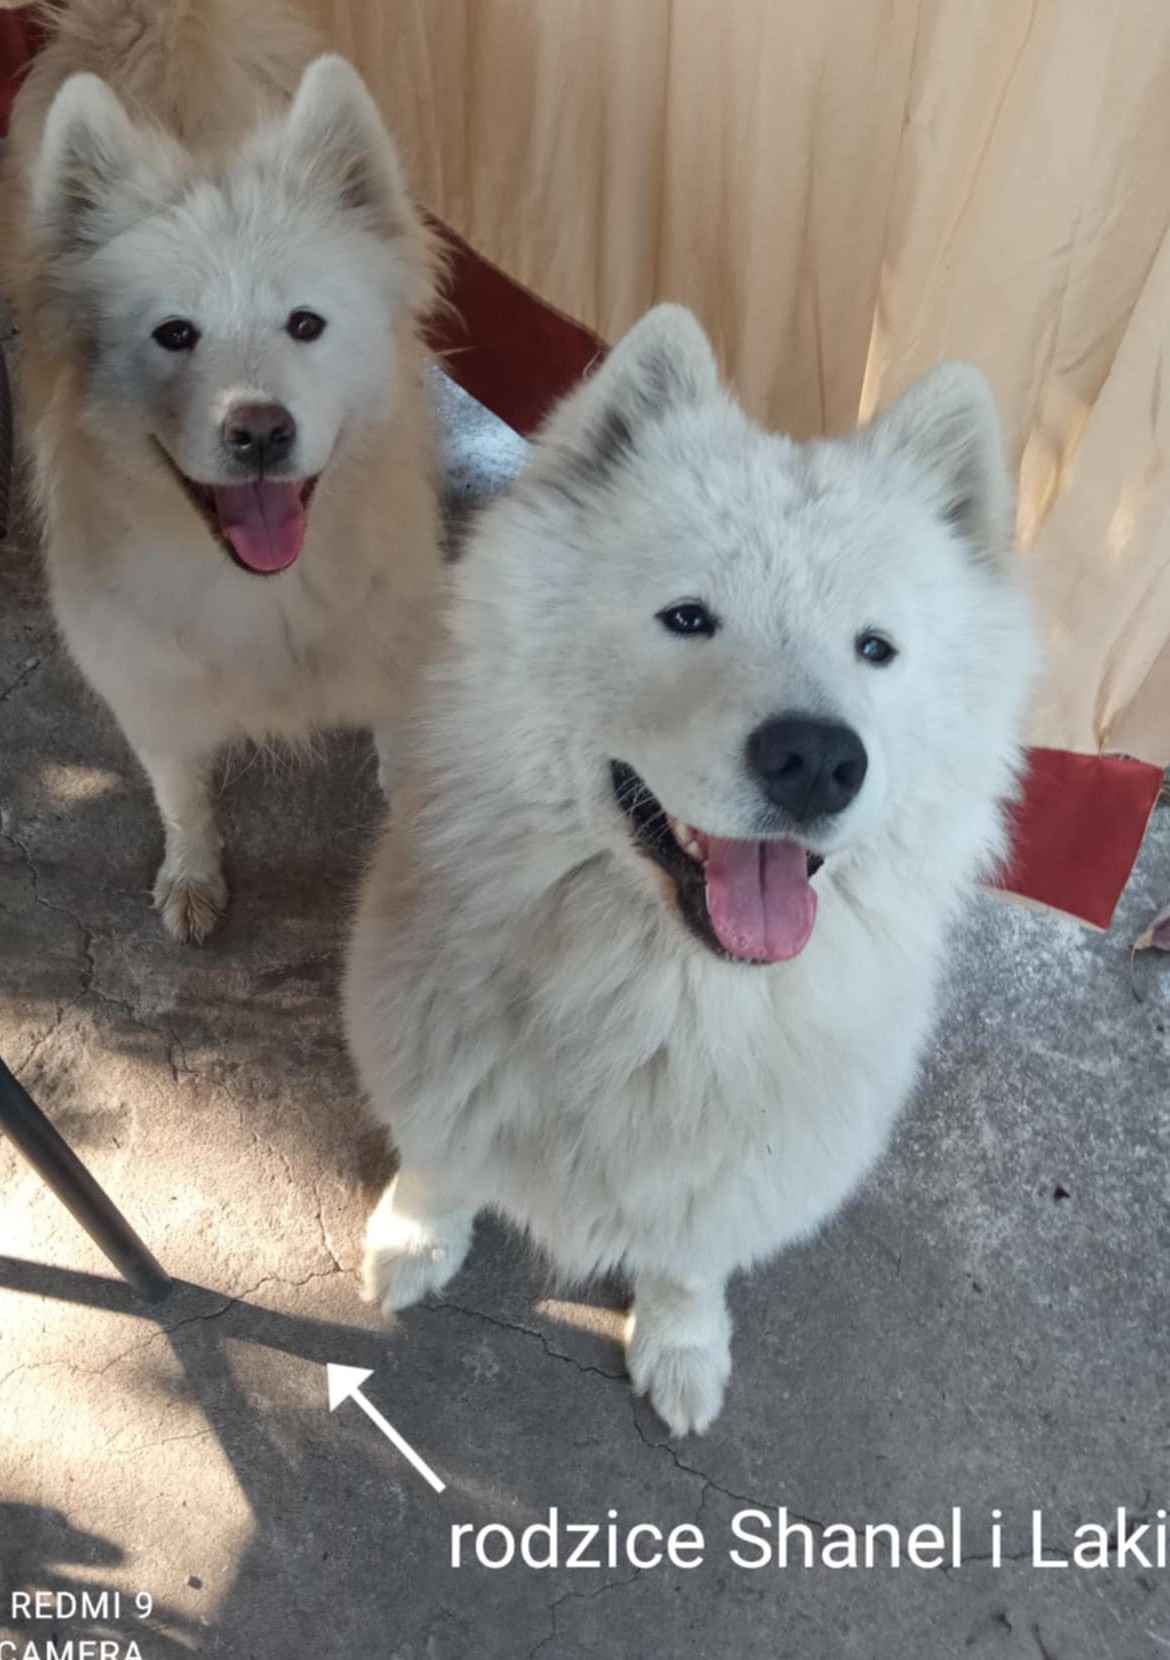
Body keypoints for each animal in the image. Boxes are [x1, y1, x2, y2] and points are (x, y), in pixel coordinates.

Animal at [2, 0, 441, 936]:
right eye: (174, 334)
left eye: (306, 324)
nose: (260, 430)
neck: (262, 594)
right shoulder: (151, 694)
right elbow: (183, 796)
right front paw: (192, 878)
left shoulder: (398, 671)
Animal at [345, 305, 1028, 1434]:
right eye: (689, 617)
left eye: (876, 648)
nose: (817, 759)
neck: (660, 1000)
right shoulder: (433, 1067)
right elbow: (439, 1166)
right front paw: (413, 1244)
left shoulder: (735, 1177)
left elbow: (689, 1262)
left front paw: (681, 1352)